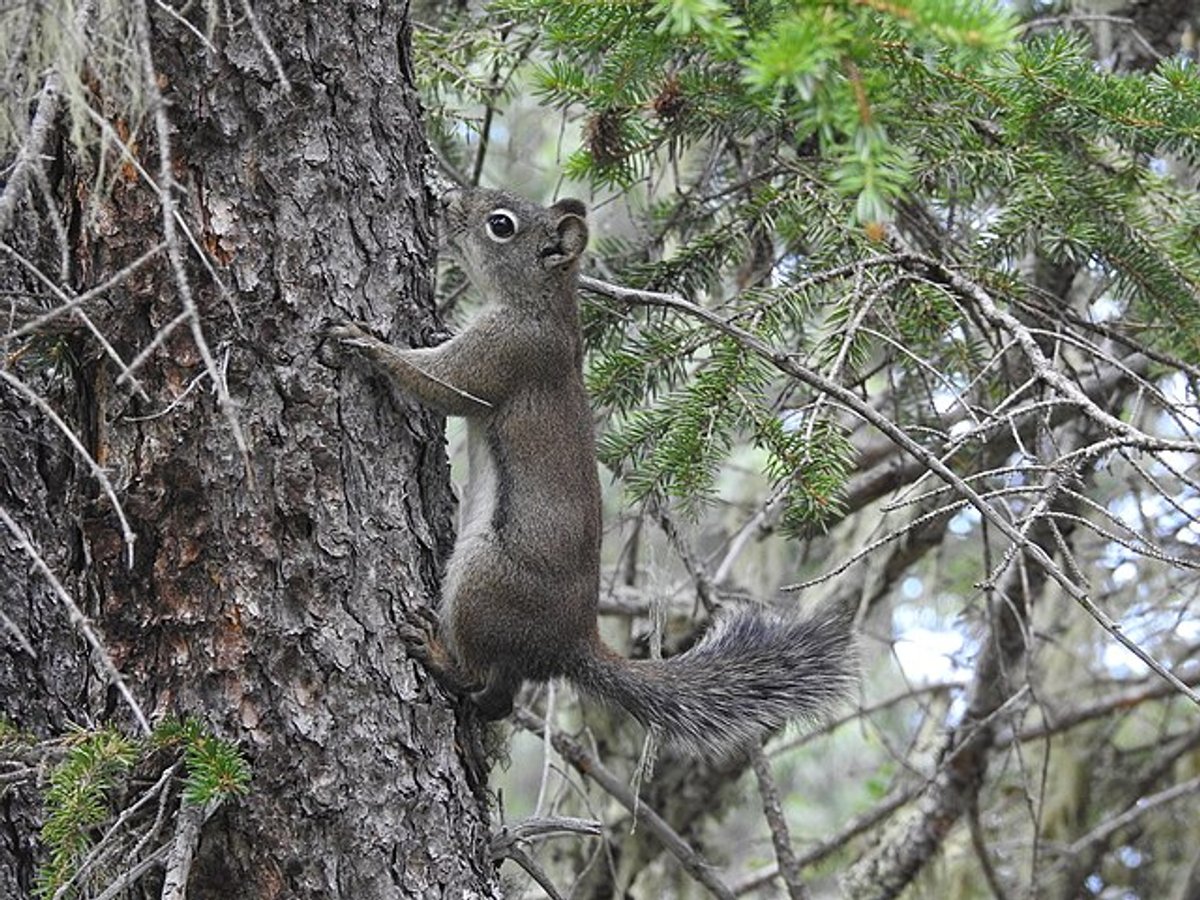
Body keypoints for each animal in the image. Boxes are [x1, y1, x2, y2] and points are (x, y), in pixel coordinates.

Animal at [328, 187, 857, 758]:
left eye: (501, 225)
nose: (443, 198)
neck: (544, 305)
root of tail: (569, 645)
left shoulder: (507, 353)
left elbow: (439, 382)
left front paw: (366, 343)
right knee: (503, 695)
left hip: (481, 578)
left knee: (489, 685)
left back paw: (435, 653)